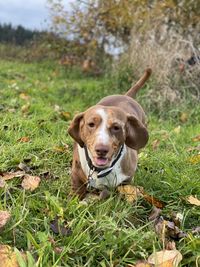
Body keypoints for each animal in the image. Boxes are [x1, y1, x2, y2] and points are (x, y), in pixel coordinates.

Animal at [68, 68, 151, 199]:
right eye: (91, 124)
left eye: (116, 127)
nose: (101, 150)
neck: (99, 170)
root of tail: (126, 96)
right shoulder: (76, 173)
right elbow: (77, 189)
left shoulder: (127, 180)